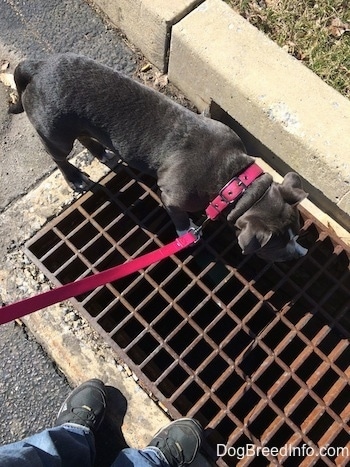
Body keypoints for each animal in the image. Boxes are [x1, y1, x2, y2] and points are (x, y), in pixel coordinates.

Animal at [9, 54, 308, 264]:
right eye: (279, 250)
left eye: (298, 233)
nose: (302, 253)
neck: (235, 181)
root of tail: (38, 67)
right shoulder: (172, 196)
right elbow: (180, 218)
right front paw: (187, 233)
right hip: (56, 133)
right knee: (58, 155)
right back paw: (74, 178)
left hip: (79, 122)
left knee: (86, 135)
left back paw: (103, 153)